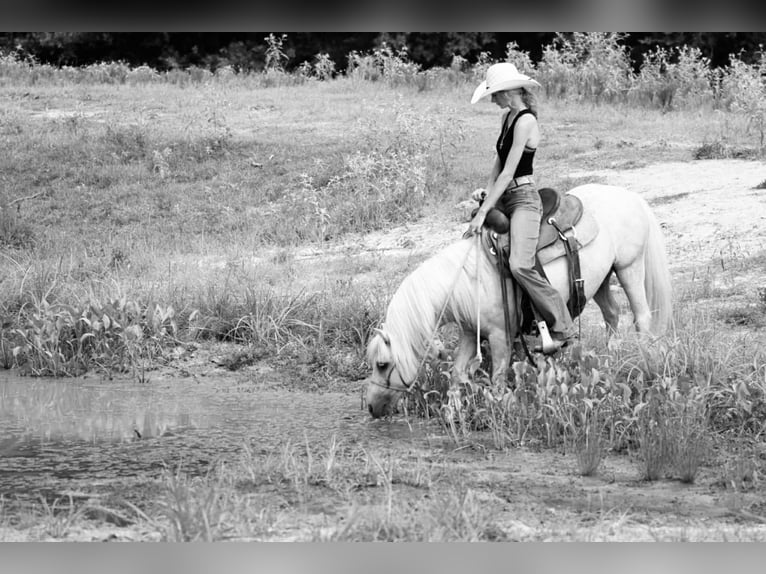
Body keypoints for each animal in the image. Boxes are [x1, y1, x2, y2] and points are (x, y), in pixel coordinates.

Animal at [364, 183, 672, 418]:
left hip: (629, 267)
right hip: (602, 278)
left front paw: (498, 411)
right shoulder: (470, 333)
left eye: (382, 364)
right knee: (612, 314)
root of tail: (630, 195)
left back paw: (645, 364)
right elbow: (456, 373)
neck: (468, 279)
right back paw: (609, 362)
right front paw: (452, 414)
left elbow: (498, 380)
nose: (370, 407)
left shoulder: (500, 336)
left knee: (641, 318)